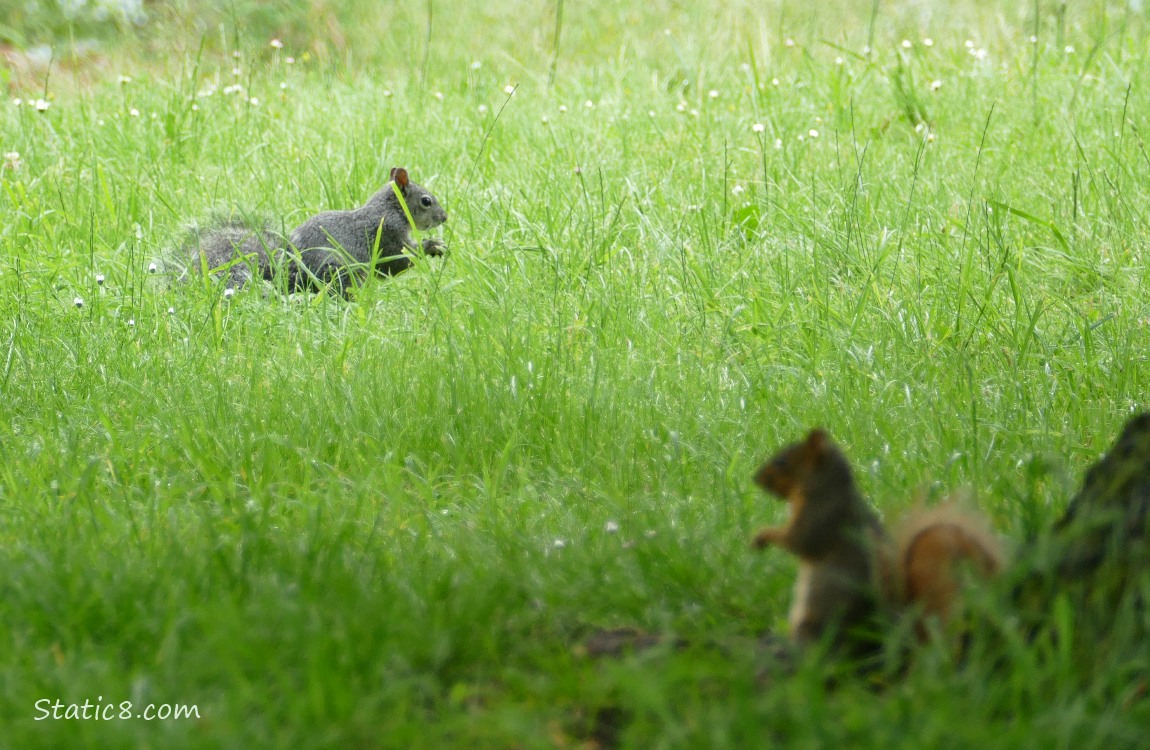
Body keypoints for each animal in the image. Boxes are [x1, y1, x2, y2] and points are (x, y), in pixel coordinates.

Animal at [181, 167, 446, 296]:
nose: (445, 217)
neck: (389, 209)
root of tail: (285, 275)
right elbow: (396, 261)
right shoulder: (387, 235)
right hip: (336, 271)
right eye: (426, 201)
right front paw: (433, 245)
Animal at [749, 430, 1002, 648]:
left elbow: (800, 541)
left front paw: (762, 535)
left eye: (782, 462)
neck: (826, 486)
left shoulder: (822, 517)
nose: (755, 478)